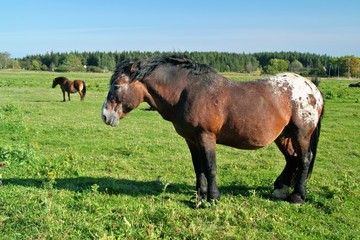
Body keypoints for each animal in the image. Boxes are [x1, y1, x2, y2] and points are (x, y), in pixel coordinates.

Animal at [100, 55, 324, 204]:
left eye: (117, 86)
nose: (105, 115)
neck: (188, 91)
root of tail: (312, 88)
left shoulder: (206, 136)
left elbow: (210, 167)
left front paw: (213, 197)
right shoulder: (191, 139)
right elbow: (198, 167)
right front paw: (200, 196)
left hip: (301, 134)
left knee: (304, 159)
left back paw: (297, 196)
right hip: (284, 136)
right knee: (292, 159)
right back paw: (280, 190)